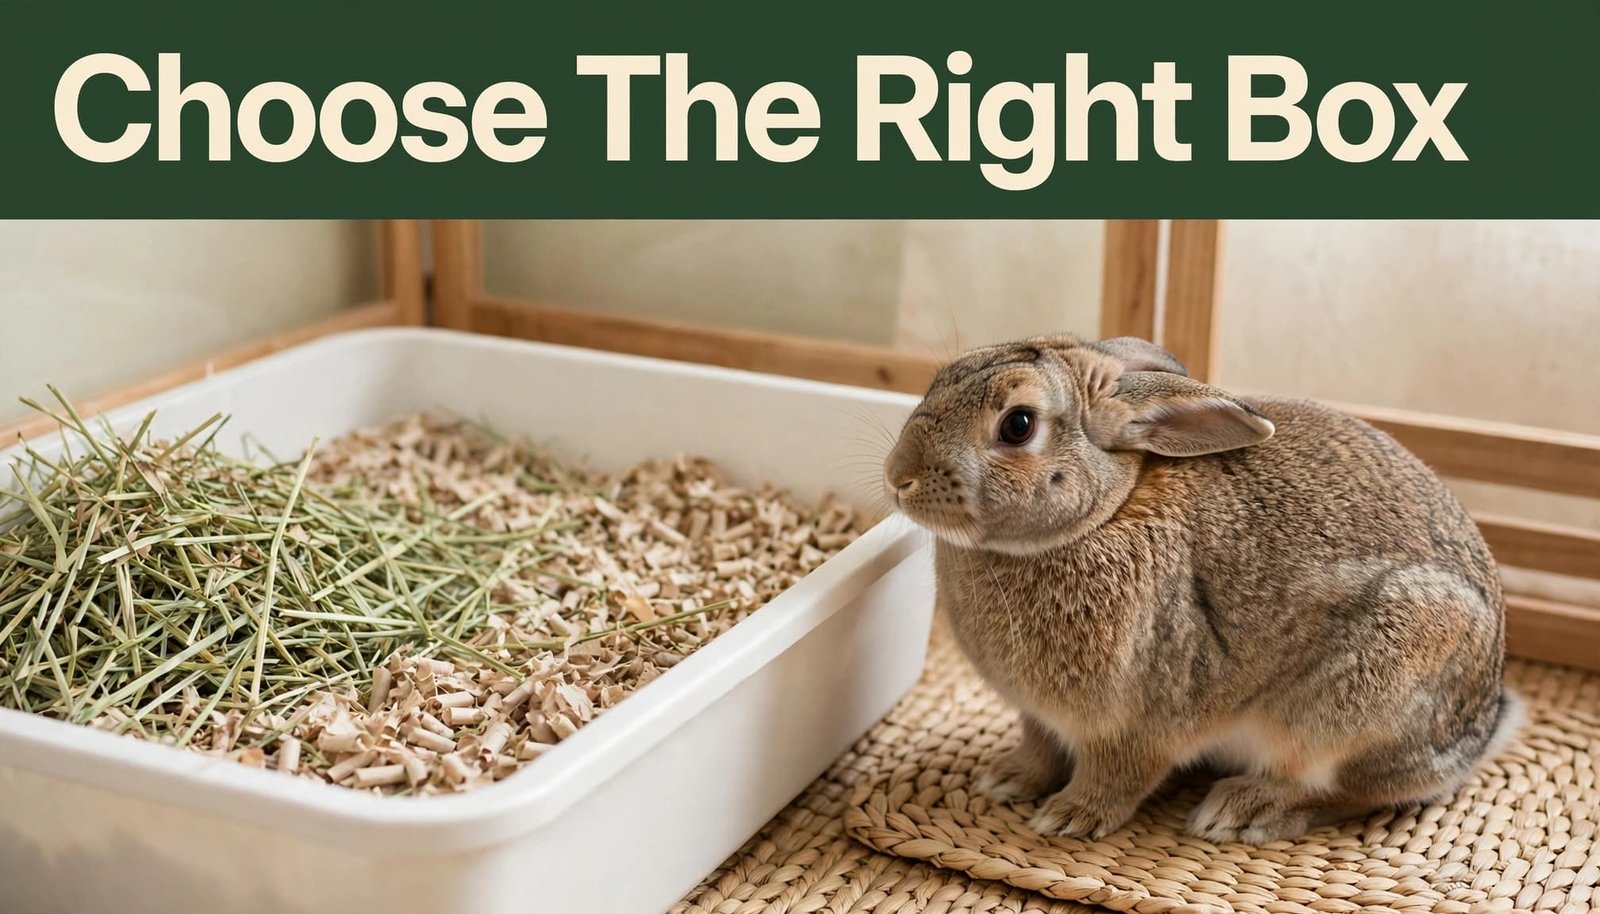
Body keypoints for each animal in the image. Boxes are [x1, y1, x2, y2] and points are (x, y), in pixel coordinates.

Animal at [882, 334, 1518, 844]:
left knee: (1350, 789)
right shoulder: (1039, 715)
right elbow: (1038, 747)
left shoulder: (1142, 721)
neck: (1102, 514)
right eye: (943, 376)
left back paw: (1242, 811)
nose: (897, 477)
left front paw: (1070, 816)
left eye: (1018, 425)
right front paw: (1005, 779)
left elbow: (1119, 775)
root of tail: (1479, 730)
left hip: (1360, 701)